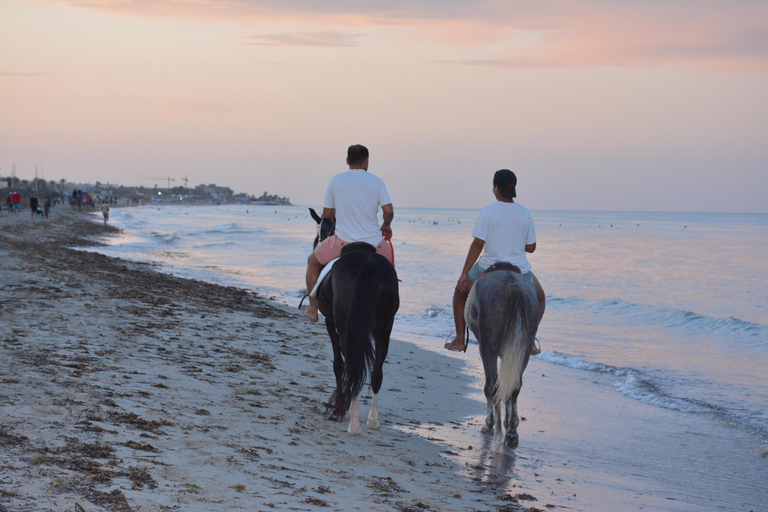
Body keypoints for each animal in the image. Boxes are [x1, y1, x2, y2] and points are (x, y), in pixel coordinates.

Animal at [462, 262, 540, 450]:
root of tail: (513, 285)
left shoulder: (485, 348)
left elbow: (492, 387)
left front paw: (490, 425)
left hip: (488, 348)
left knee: (493, 386)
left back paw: (494, 428)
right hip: (525, 348)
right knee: (515, 385)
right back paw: (511, 433)